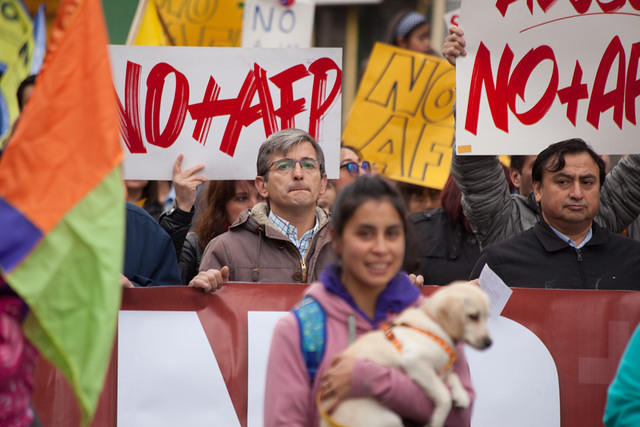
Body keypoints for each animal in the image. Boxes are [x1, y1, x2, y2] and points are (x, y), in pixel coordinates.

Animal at [318, 280, 490, 427]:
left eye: (487, 316)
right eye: (473, 316)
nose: (489, 342)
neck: (435, 323)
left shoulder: (438, 372)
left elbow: (453, 376)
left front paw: (461, 395)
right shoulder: (416, 362)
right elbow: (444, 396)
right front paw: (436, 420)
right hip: (389, 418)